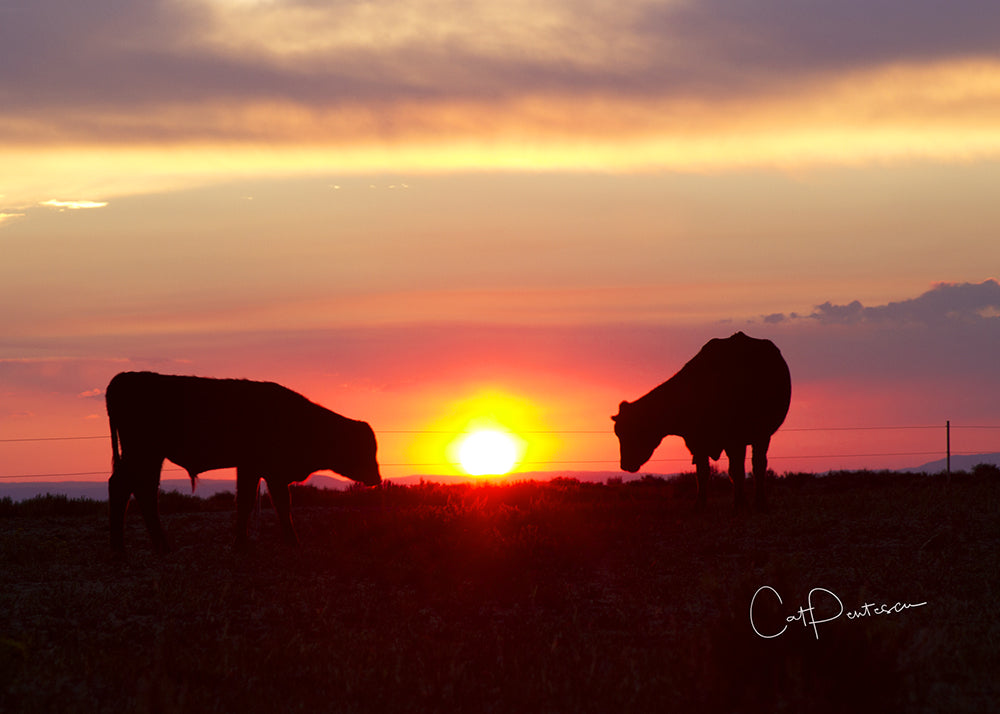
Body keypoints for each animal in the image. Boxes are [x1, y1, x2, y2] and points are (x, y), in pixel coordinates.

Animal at [104, 370, 378, 552]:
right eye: (363, 448)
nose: (377, 477)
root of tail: (123, 378)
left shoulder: (251, 469)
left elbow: (247, 503)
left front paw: (242, 542)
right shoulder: (267, 471)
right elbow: (276, 503)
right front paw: (291, 541)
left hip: (149, 457)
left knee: (142, 491)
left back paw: (154, 545)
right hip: (143, 453)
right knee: (127, 487)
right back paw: (122, 549)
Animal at [612, 330, 792, 508]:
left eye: (634, 430)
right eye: (618, 433)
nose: (625, 464)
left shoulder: (735, 440)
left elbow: (736, 471)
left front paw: (740, 503)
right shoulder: (697, 442)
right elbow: (702, 472)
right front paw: (700, 503)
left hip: (762, 436)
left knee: (758, 465)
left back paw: (760, 502)